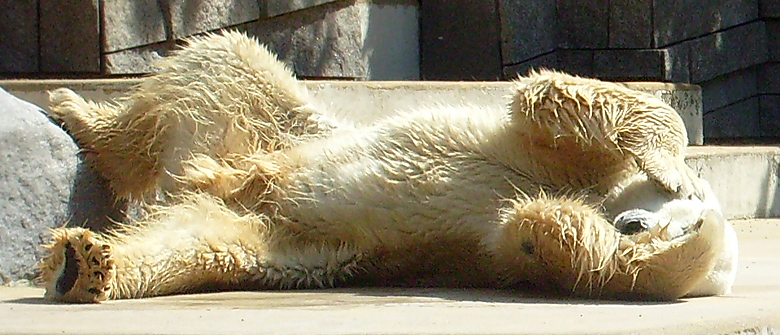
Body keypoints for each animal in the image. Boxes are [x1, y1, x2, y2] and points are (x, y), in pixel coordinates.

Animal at [38, 32, 736, 304]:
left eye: (676, 235)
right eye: (680, 215)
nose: (634, 226)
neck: (599, 193)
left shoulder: (494, 249)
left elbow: (537, 237)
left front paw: (567, 235)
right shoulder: (551, 153)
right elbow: (556, 98)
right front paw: (670, 163)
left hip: (298, 242)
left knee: (201, 241)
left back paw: (88, 263)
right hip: (277, 119)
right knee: (216, 63)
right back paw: (76, 109)